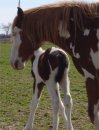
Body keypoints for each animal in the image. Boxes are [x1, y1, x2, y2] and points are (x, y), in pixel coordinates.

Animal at [10, 1, 99, 129]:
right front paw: (67, 125)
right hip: (64, 79)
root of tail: (60, 56)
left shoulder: (39, 81)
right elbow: (62, 103)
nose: (13, 63)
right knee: (66, 100)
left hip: (52, 82)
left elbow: (34, 103)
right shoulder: (57, 81)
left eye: (14, 33)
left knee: (56, 102)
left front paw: (28, 126)